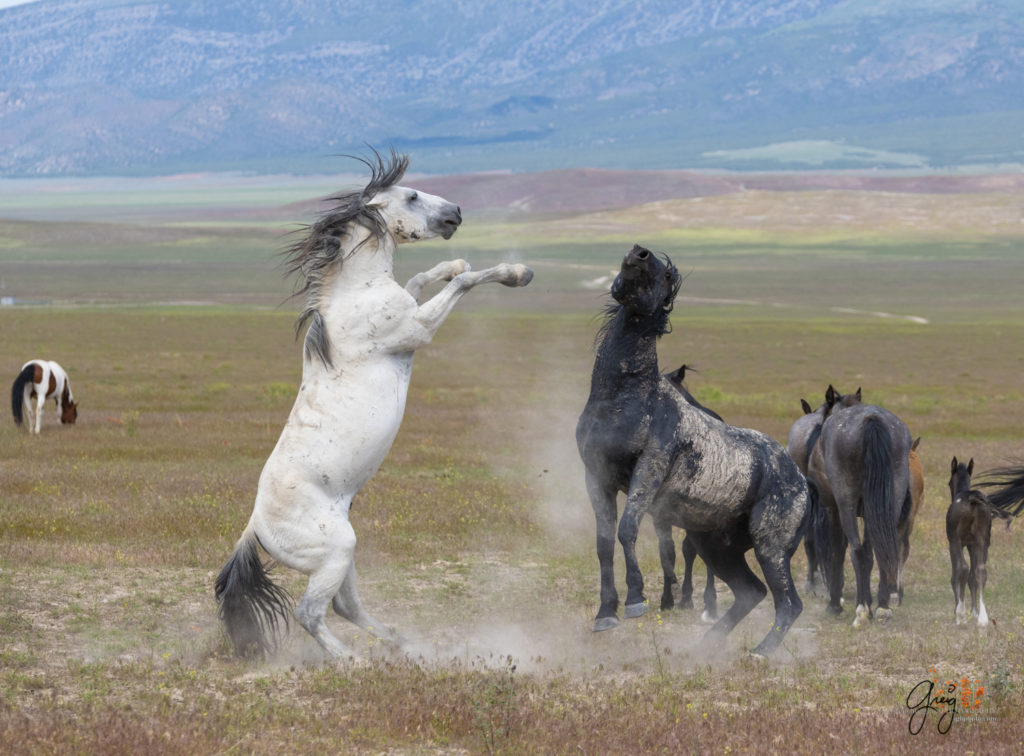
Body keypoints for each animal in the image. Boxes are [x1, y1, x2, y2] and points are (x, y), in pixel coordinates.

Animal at [216, 150, 536, 655]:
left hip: (344, 555)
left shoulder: (410, 307)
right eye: (412, 196)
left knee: (346, 606)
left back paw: (403, 645)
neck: (355, 295)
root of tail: (256, 528)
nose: (456, 213)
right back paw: (351, 661)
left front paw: (454, 261)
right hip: (335, 552)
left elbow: (424, 277)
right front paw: (515, 274)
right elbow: (465, 282)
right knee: (311, 613)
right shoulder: (417, 329)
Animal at [577, 242, 806, 655]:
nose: (640, 253)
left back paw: (760, 652)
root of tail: (802, 480)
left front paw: (636, 600)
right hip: (716, 547)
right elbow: (604, 543)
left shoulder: (648, 469)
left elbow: (627, 529)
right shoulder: (596, 475)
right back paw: (703, 647)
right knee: (751, 592)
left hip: (770, 546)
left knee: (788, 602)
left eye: (666, 274)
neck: (624, 398)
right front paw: (605, 613)